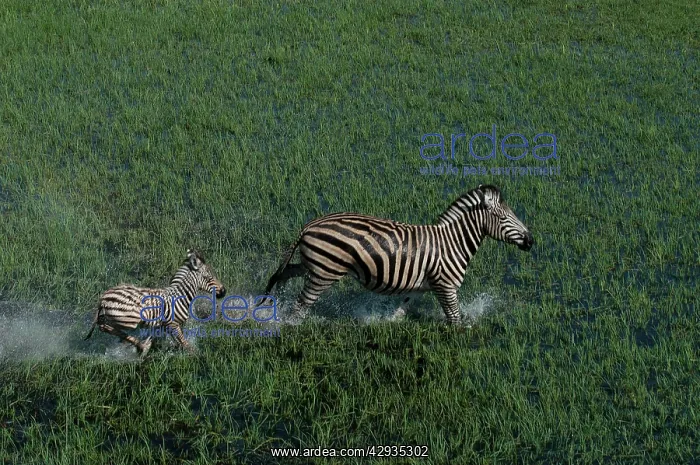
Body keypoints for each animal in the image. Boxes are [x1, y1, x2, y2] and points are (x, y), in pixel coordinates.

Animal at [84, 249, 226, 356]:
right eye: (209, 277)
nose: (224, 291)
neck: (180, 295)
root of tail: (103, 297)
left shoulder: (166, 326)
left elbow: (177, 341)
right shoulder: (173, 324)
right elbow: (184, 343)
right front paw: (196, 355)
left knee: (104, 325)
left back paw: (137, 344)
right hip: (129, 319)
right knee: (105, 326)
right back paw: (140, 345)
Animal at [258, 184, 533, 325]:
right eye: (504, 218)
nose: (531, 241)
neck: (452, 243)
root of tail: (308, 226)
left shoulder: (422, 287)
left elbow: (400, 311)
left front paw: (387, 324)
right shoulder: (446, 286)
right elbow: (455, 320)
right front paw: (462, 339)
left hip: (315, 265)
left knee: (286, 273)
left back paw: (275, 302)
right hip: (325, 272)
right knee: (300, 306)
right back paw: (289, 324)